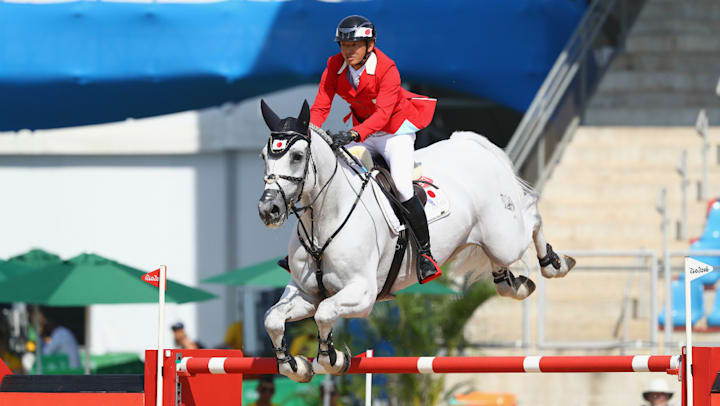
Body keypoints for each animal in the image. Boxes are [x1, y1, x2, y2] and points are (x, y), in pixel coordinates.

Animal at [258, 100, 572, 382]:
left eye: (297, 156)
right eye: (263, 156)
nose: (268, 209)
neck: (324, 219)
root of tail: (469, 145)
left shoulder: (362, 294)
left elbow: (324, 314)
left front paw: (331, 359)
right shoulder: (306, 292)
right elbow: (273, 318)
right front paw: (295, 366)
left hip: (504, 237)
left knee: (532, 214)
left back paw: (555, 264)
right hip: (492, 240)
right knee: (503, 264)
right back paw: (513, 284)